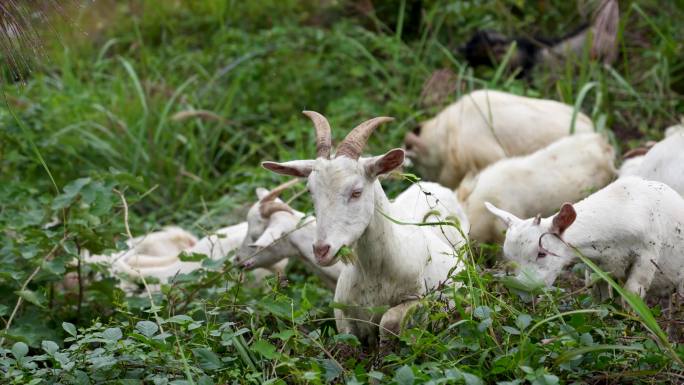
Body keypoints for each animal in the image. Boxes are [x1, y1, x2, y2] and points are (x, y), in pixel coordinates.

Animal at [264, 109, 470, 344]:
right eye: (310, 191)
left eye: (356, 192)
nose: (321, 250)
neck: (376, 273)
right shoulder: (343, 313)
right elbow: (347, 339)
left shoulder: (420, 299)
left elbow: (389, 322)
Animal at [484, 177, 684, 300]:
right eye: (510, 259)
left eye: (542, 253)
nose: (520, 287)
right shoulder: (598, 266)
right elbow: (601, 296)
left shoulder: (647, 254)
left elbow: (632, 294)